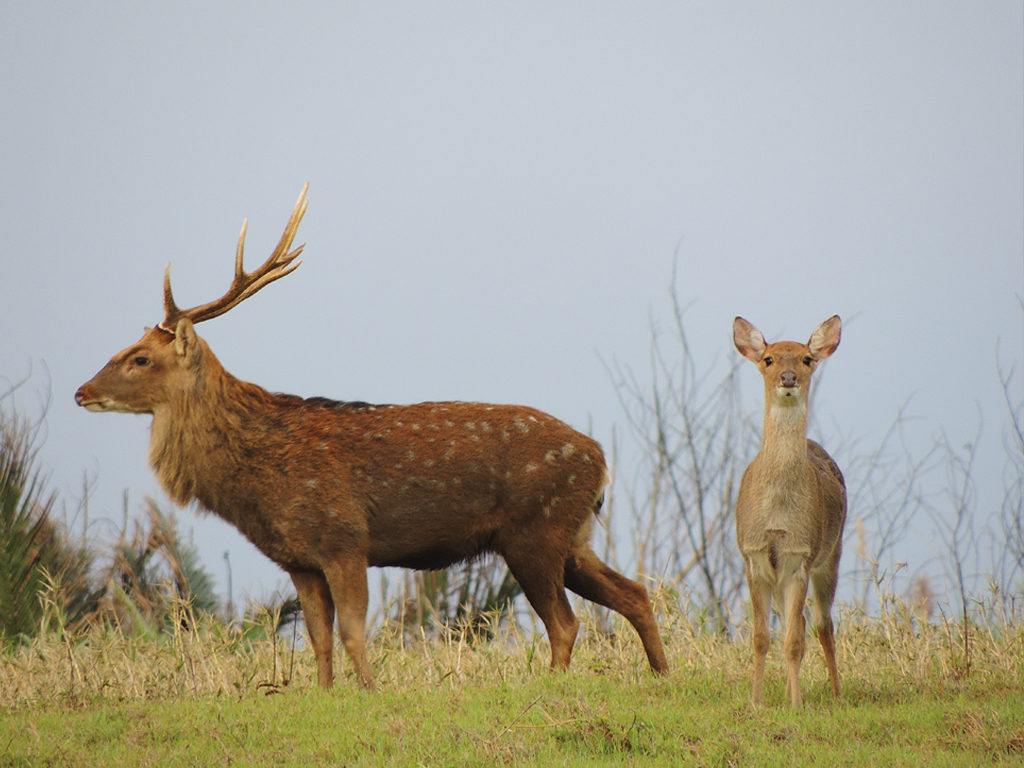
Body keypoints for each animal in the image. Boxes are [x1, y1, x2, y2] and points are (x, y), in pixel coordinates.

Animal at [75, 186, 667, 692]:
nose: (82, 391)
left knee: (565, 622)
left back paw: (552, 685)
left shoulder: (344, 537)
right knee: (634, 593)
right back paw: (663, 675)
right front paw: (326, 695)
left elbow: (352, 632)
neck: (254, 483)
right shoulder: (299, 560)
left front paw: (368, 693)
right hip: (572, 535)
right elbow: (318, 639)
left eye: (139, 358)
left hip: (535, 530)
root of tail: (600, 459)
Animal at [737, 313, 847, 708]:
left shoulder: (799, 554)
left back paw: (836, 693)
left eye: (806, 358)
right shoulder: (753, 555)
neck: (777, 512)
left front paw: (797, 705)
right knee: (795, 622)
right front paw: (756, 701)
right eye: (768, 359)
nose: (788, 378)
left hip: (831, 553)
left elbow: (795, 642)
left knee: (822, 624)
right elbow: (760, 638)